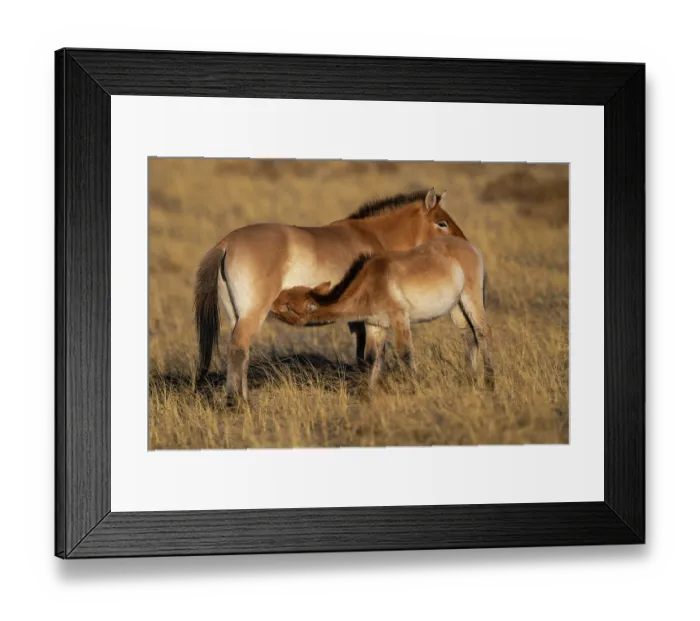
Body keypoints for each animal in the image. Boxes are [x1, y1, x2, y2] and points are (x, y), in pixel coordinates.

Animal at [194, 187, 467, 403]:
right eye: (442, 222)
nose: (464, 244)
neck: (372, 236)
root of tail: (227, 242)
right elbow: (368, 354)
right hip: (253, 314)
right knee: (238, 348)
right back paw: (237, 403)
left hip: (235, 315)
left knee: (240, 353)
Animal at [271, 236, 494, 391]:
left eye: (288, 305)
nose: (271, 302)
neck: (370, 284)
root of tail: (469, 246)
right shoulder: (375, 326)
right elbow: (372, 358)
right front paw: (370, 393)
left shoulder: (399, 319)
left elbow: (405, 354)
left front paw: (415, 388)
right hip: (456, 307)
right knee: (468, 335)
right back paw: (471, 377)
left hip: (471, 298)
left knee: (482, 332)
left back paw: (489, 379)